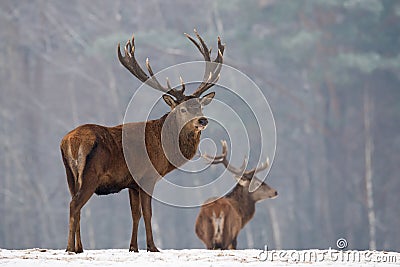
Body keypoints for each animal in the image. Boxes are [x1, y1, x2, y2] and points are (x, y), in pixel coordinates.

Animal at [61, 30, 225, 254]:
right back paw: (70, 247)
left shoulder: (131, 183)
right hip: (90, 174)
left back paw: (79, 248)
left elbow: (135, 214)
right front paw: (153, 247)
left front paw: (133, 247)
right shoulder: (147, 177)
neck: (163, 150)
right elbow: (147, 213)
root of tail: (69, 142)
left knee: (74, 204)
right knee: (74, 205)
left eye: (200, 106)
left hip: (70, 175)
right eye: (183, 109)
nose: (202, 121)